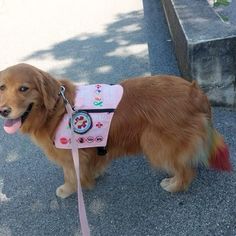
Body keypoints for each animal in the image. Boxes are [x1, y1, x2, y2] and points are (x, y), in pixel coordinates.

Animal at [0, 63, 232, 198]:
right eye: (2, 87)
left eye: (24, 88)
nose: (3, 111)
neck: (56, 109)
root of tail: (196, 92)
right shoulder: (89, 151)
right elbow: (91, 165)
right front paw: (94, 174)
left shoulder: (70, 156)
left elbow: (71, 176)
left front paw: (67, 190)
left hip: (155, 142)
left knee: (186, 171)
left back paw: (174, 184)